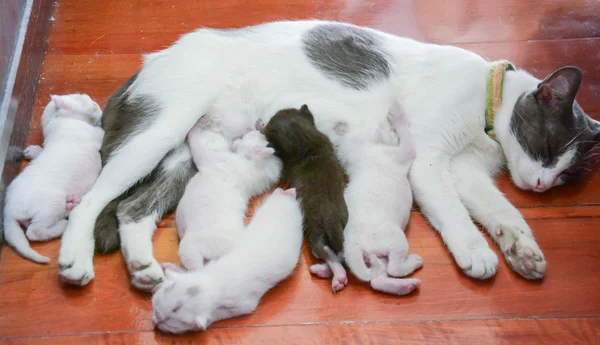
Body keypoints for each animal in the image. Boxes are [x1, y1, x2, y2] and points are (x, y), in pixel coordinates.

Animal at [2, 92, 103, 262]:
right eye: (89, 102)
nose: (98, 106)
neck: (57, 121)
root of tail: (8, 211)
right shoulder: (94, 134)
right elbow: (102, 131)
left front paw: (33, 151)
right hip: (52, 203)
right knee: (34, 231)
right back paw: (63, 225)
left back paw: (71, 204)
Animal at [155, 188, 304, 334]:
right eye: (158, 300)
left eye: (168, 322)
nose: (156, 320)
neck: (212, 282)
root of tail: (287, 199)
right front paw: (169, 267)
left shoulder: (244, 305)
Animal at [264, 104, 350, 290]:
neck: (306, 143)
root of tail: (331, 220)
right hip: (343, 223)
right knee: (339, 251)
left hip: (315, 231)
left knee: (326, 252)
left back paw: (336, 275)